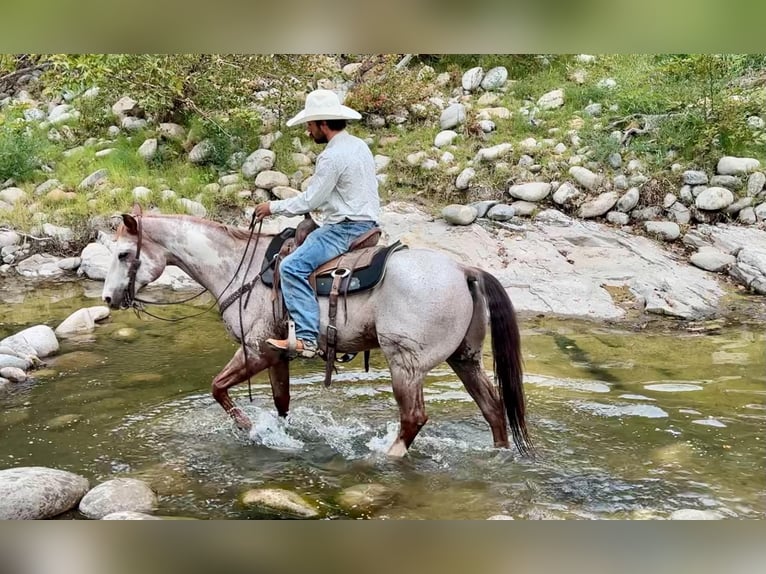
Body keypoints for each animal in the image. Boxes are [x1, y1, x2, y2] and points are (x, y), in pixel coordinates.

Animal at [101, 206, 531, 458]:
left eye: (123, 253)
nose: (108, 297)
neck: (240, 269)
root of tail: (464, 269)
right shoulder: (276, 354)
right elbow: (282, 402)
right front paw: (281, 435)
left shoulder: (256, 349)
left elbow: (217, 387)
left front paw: (248, 428)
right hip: (466, 359)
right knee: (494, 410)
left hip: (405, 363)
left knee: (414, 417)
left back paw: (387, 456)